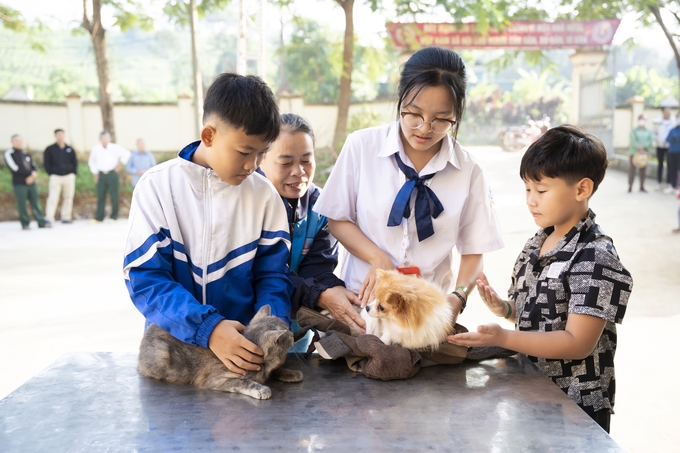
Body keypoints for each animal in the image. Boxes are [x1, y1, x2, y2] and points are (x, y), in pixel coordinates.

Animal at [138, 304, 302, 400]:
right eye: (287, 331)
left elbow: (274, 370)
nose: (293, 334)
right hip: (162, 355)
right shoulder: (215, 379)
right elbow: (242, 382)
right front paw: (261, 388)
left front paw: (290, 372)